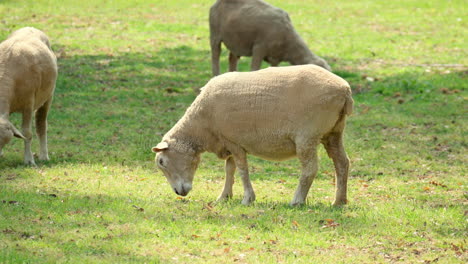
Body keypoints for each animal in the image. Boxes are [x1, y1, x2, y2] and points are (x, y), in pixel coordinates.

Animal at [0, 27, 58, 166]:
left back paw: (44, 156)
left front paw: (29, 160)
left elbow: (27, 132)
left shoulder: (28, 103)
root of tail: (30, 27)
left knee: (41, 125)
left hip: (48, 96)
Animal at [152, 65, 352, 206]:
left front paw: (247, 198)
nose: (179, 193)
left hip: (307, 136)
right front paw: (224, 197)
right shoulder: (228, 142)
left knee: (310, 169)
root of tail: (344, 90)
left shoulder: (233, 141)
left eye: (161, 162)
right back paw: (339, 201)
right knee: (342, 163)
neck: (201, 126)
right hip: (334, 133)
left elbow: (242, 170)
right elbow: (229, 169)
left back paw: (297, 200)